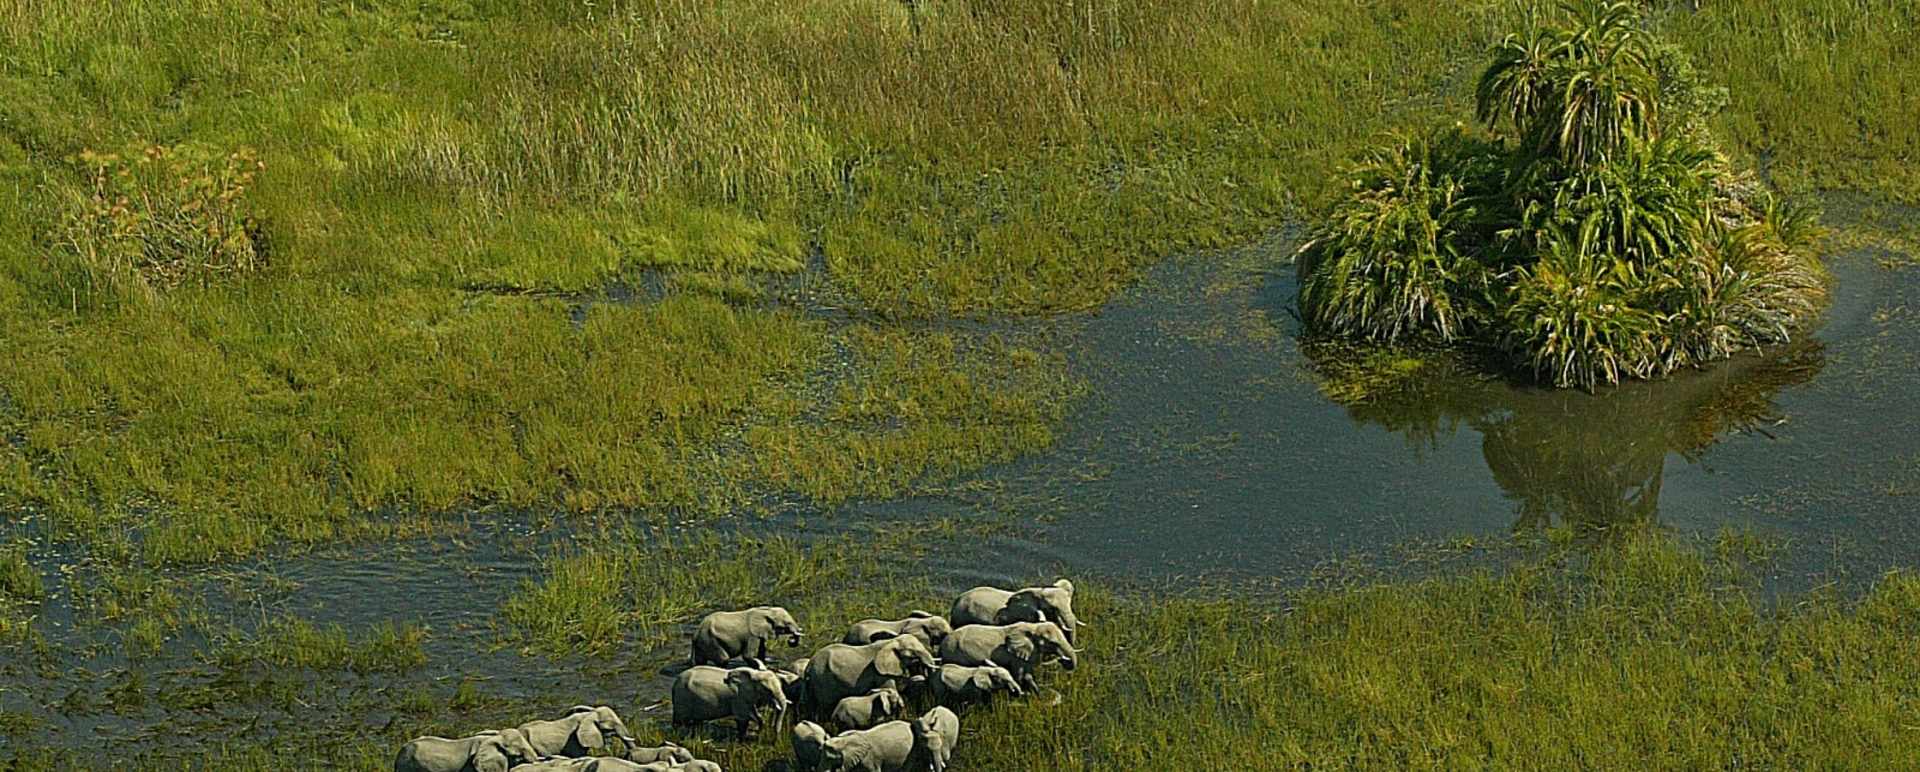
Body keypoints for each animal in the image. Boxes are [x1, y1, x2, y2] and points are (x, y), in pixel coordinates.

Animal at [802, 636, 938, 714]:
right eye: (912, 654)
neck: (892, 642)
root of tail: (809, 666)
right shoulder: (880, 673)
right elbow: (890, 689)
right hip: (822, 679)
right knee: (825, 706)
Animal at [937, 621, 1076, 692]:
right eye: (1052, 643)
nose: (1067, 663)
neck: (1034, 627)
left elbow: (1028, 674)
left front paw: (1037, 694)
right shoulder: (1015, 656)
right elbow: (1020, 674)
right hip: (954, 653)